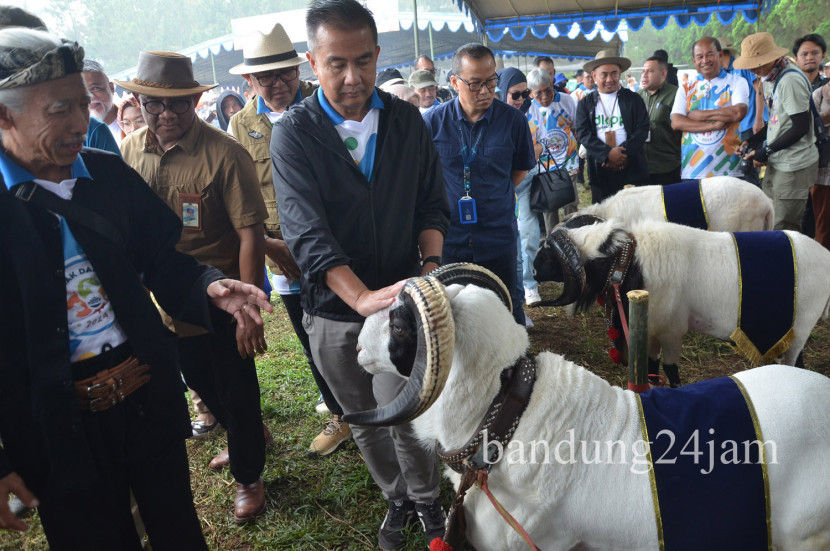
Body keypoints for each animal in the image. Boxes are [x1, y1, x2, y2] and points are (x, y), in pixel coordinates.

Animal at [532, 217, 830, 388]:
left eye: (547, 256)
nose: (533, 271)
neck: (628, 261)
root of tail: (825, 253)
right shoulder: (652, 331)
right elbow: (652, 370)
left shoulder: (671, 330)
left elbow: (670, 371)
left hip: (803, 324)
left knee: (796, 362)